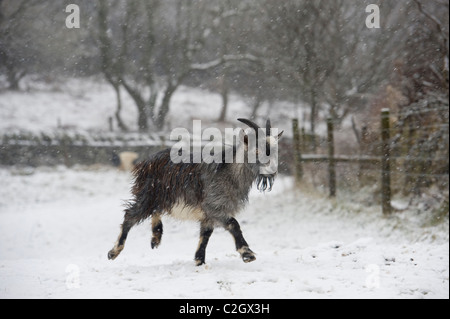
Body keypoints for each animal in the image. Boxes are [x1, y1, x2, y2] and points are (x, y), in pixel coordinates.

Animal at [107, 119, 284, 266]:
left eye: (275, 150)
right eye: (257, 151)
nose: (272, 171)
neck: (230, 172)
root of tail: (146, 162)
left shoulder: (209, 214)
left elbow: (206, 234)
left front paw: (199, 260)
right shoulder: (214, 206)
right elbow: (233, 224)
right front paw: (247, 254)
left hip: (162, 197)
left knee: (155, 210)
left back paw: (156, 237)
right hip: (149, 194)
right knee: (131, 215)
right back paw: (114, 252)